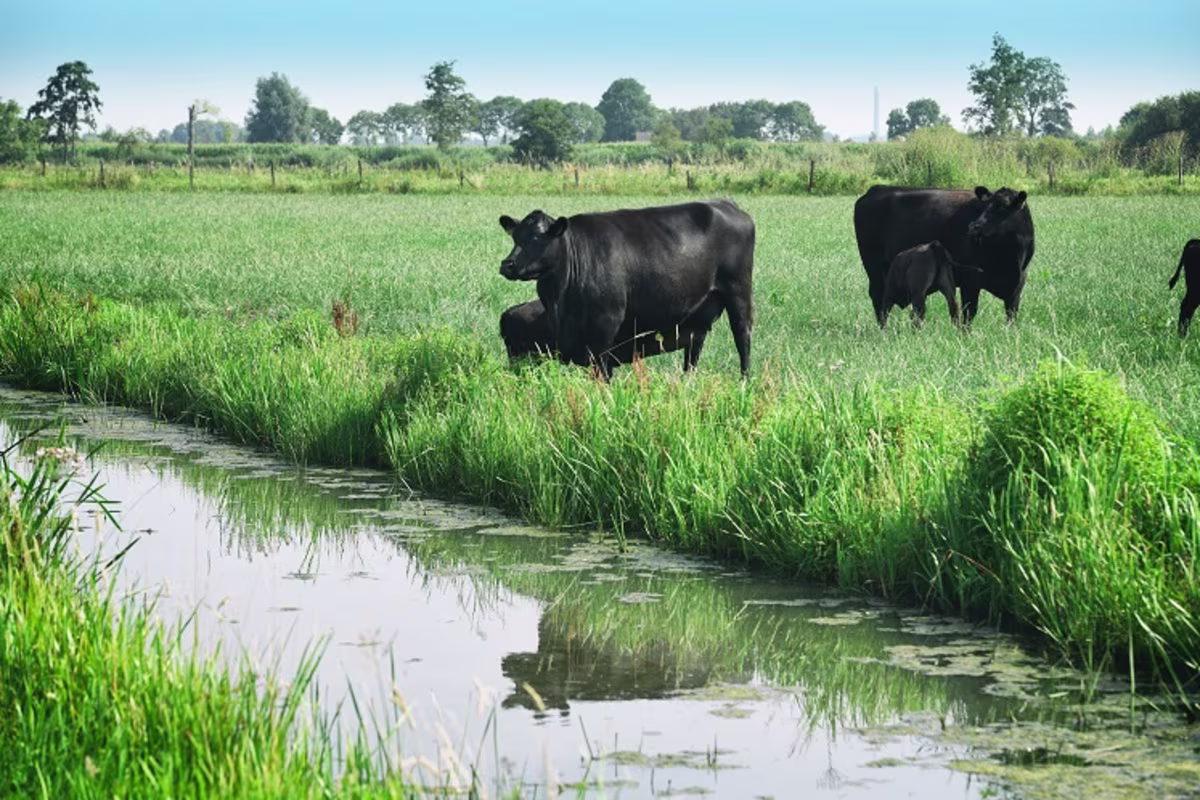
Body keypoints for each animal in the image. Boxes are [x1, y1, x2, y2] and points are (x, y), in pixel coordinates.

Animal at [854, 185, 1036, 326]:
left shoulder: (1018, 283)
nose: (974, 226)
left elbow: (1011, 314)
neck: (1011, 260)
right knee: (879, 297)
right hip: (874, 268)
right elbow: (969, 312)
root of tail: (877, 189)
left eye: (1003, 207)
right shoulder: (970, 281)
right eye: (984, 206)